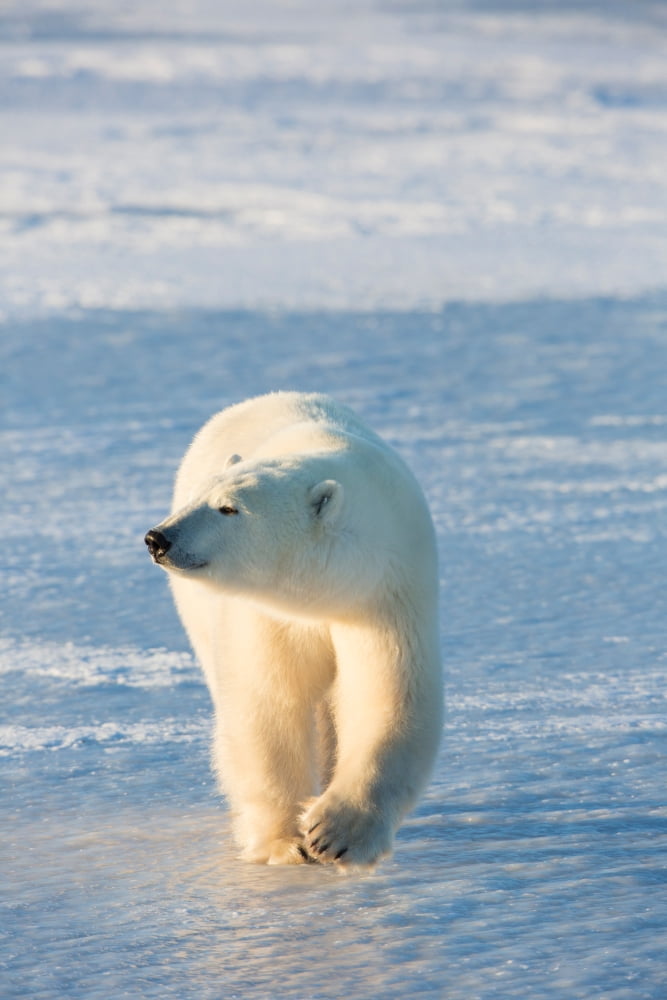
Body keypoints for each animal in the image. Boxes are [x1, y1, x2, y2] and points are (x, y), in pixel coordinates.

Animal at [145, 391, 442, 868]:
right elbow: (269, 703)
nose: (158, 538)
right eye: (200, 497)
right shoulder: (269, 612)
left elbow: (386, 693)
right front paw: (285, 842)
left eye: (229, 507)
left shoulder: (385, 593)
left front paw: (337, 833)